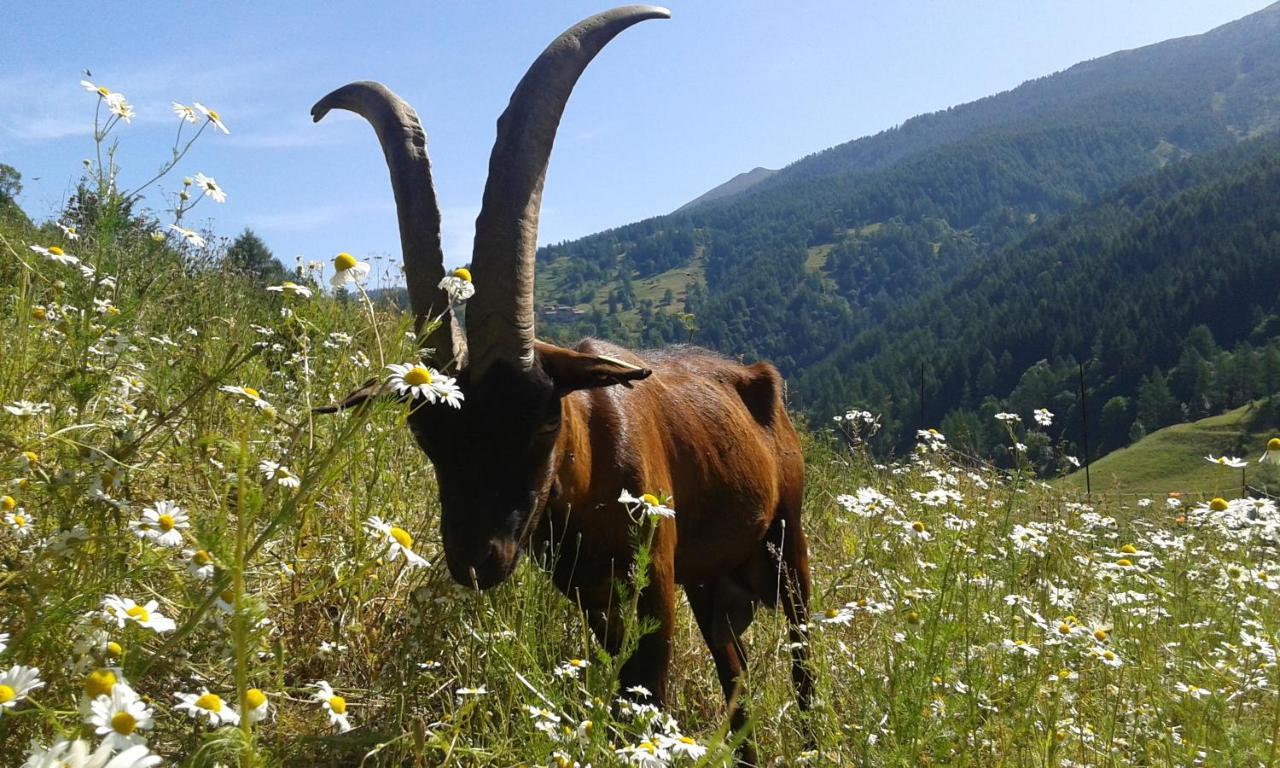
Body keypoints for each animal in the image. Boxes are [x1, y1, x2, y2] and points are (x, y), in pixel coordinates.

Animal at [312, 6, 808, 762]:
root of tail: (759, 384)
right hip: (713, 581)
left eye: (545, 419)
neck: (592, 465)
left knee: (804, 660)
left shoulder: (652, 586)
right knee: (739, 679)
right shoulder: (594, 599)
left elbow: (649, 697)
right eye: (425, 429)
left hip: (789, 540)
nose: (479, 560)